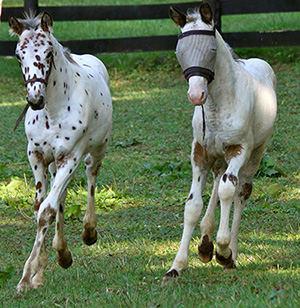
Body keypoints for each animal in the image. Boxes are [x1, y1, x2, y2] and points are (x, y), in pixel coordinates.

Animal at [9, 12, 113, 292]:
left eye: (47, 53)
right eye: (18, 55)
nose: (34, 100)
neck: (53, 111)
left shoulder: (71, 156)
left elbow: (46, 211)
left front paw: (26, 276)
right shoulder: (36, 156)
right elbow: (40, 207)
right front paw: (39, 273)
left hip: (96, 149)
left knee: (91, 175)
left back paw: (88, 231)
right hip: (55, 163)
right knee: (61, 197)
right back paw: (61, 252)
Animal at [163, 1, 278, 282]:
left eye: (212, 50)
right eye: (179, 51)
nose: (196, 94)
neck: (217, 104)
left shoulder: (239, 149)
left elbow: (229, 191)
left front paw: (224, 251)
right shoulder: (200, 152)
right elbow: (193, 205)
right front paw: (177, 265)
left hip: (256, 153)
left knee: (240, 191)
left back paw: (230, 253)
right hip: (217, 156)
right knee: (217, 180)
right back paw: (205, 244)